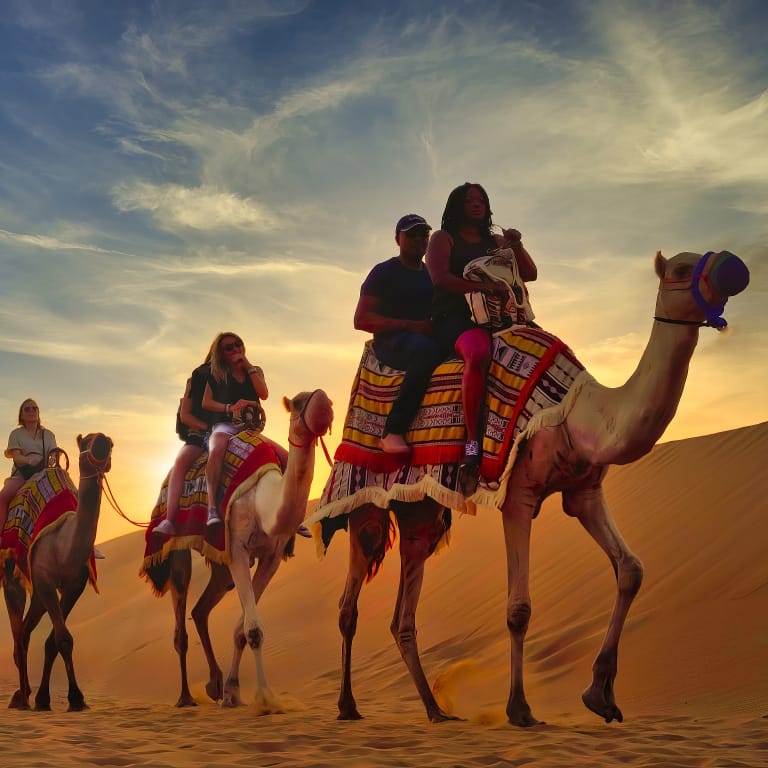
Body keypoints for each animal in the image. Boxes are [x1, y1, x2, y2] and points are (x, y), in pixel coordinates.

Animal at [3, 432, 113, 711]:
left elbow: (55, 639)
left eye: (110, 443)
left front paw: (46, 698)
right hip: (13, 576)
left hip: (39, 595)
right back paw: (21, 699)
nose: (102, 442)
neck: (66, 546)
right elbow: (62, 638)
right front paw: (74, 698)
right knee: (18, 633)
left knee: (26, 632)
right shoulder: (44, 578)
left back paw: (23, 694)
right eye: (85, 442)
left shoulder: (75, 585)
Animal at [149, 389, 333, 710]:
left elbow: (242, 629)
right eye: (298, 403)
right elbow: (254, 630)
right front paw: (265, 698)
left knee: (200, 611)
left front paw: (233, 691)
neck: (263, 503)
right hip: (179, 550)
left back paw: (214, 683)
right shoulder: (237, 548)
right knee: (180, 621)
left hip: (220, 566)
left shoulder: (271, 557)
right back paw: (185, 697)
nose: (324, 404)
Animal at [328, 249, 750, 725]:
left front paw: (601, 694)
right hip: (365, 499)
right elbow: (519, 608)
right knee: (349, 603)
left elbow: (631, 569)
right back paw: (348, 706)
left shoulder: (585, 492)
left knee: (403, 612)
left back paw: (436, 711)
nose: (732, 266)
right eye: (681, 268)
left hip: (421, 511)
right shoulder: (519, 496)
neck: (580, 414)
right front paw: (520, 708)